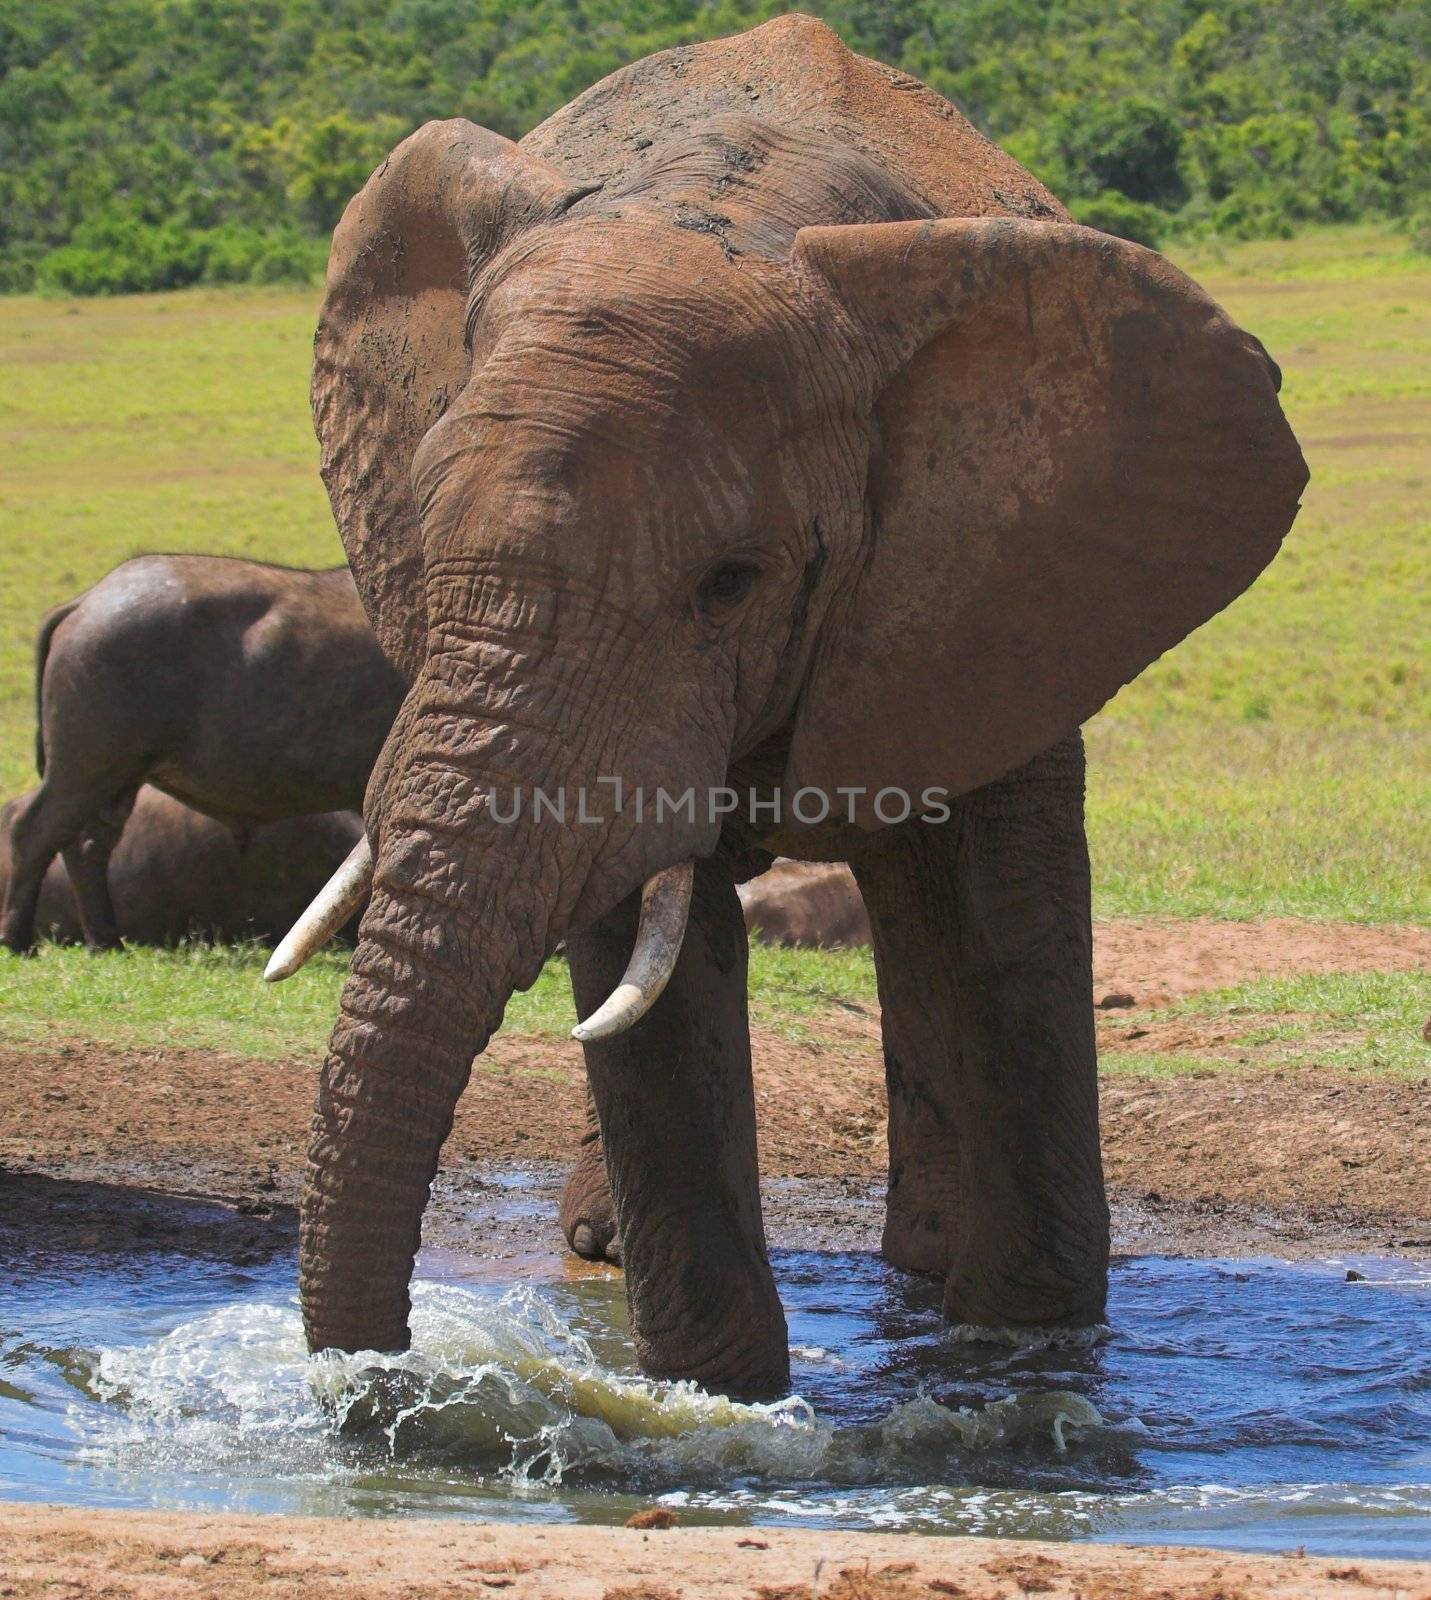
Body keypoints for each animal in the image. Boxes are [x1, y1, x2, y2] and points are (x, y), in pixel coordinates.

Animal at [284, 18, 1318, 1401]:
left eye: (732, 581)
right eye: (423, 537)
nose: (382, 1377)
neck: (739, 209)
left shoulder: (1018, 567)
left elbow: (1006, 910)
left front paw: (1022, 1358)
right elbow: (648, 961)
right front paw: (722, 1396)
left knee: (924, 903)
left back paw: (922, 1264)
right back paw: (604, 1243)